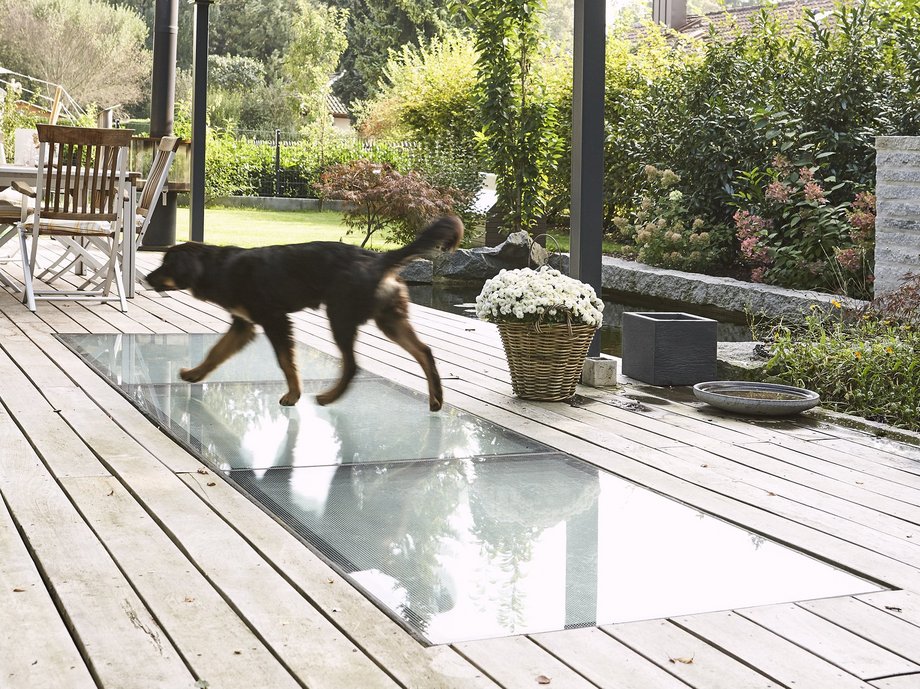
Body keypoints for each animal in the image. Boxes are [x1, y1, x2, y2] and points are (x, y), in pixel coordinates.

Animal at [146, 215, 464, 408]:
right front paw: (195, 374)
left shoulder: (274, 319)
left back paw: (329, 397)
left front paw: (293, 395)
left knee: (352, 365)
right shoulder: (243, 325)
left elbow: (285, 361)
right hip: (389, 318)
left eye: (166, 265)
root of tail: (379, 259)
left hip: (340, 316)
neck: (219, 267)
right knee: (424, 351)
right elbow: (216, 352)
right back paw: (436, 400)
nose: (147, 279)